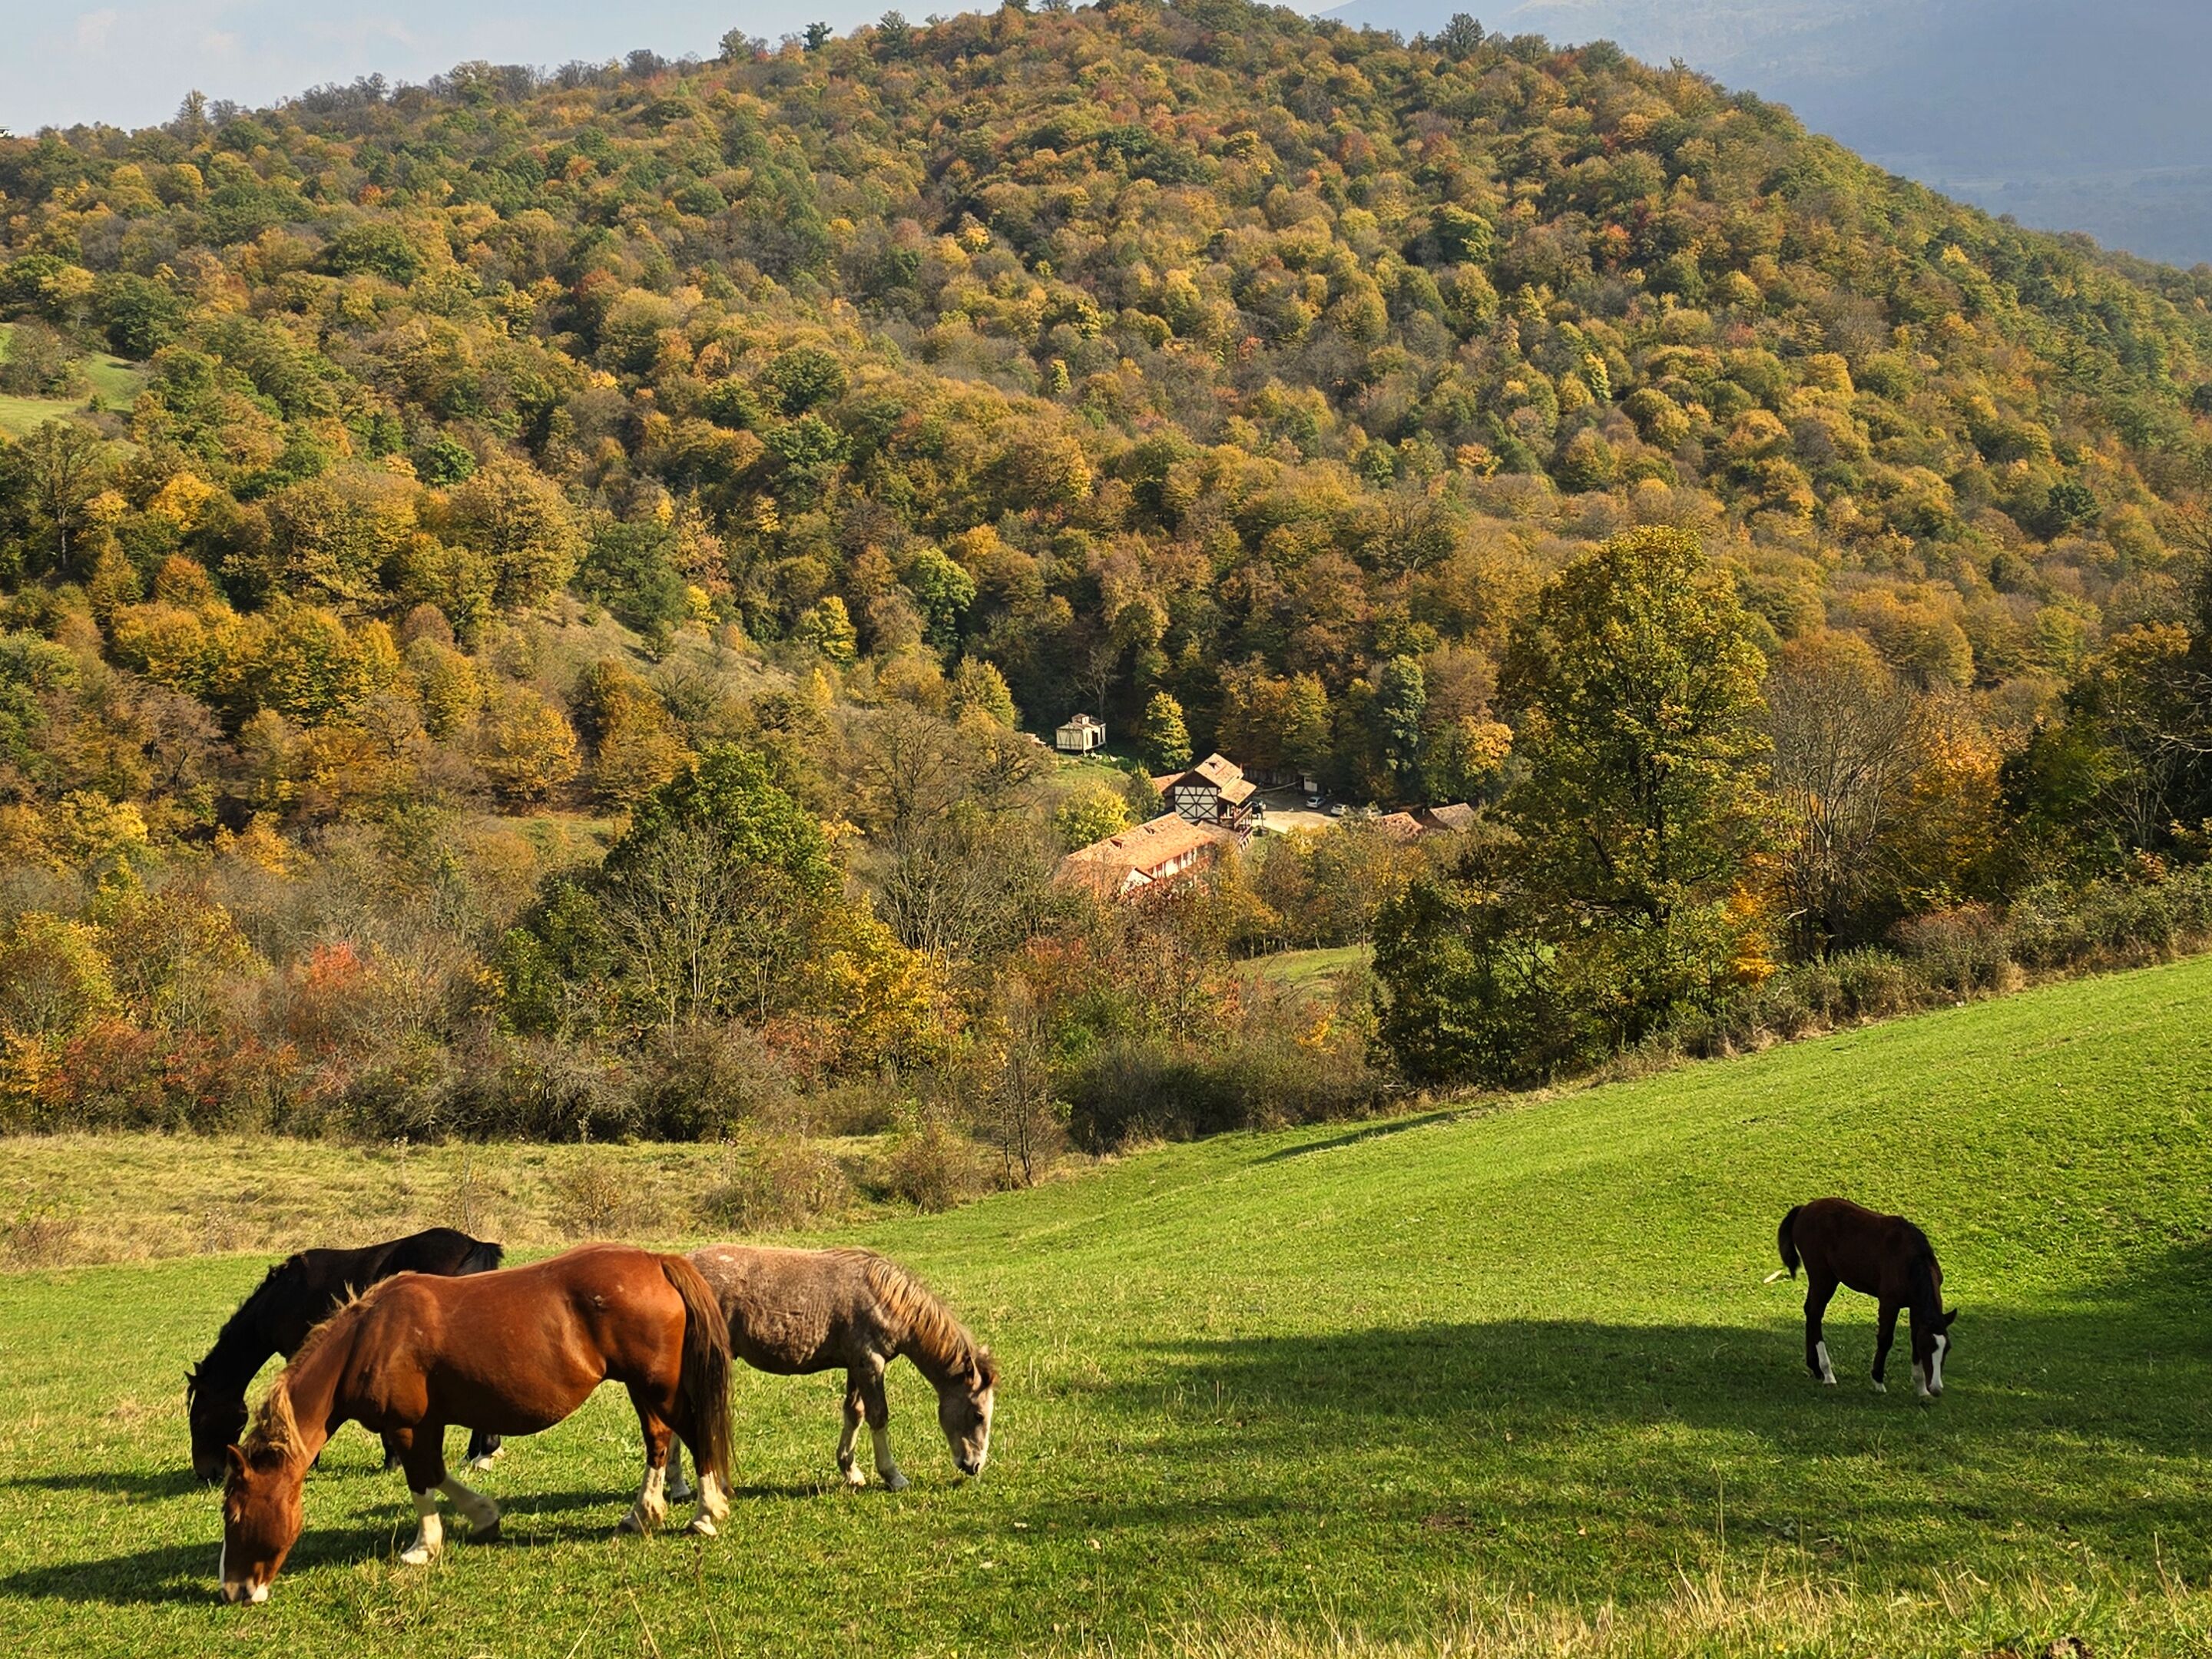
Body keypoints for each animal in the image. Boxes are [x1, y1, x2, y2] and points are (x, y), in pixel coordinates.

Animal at [217, 1242, 734, 1604]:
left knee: (692, 1434)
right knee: (659, 1440)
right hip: (642, 1388)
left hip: (656, 1386)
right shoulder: (426, 1425)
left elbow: (422, 1481)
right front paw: (484, 1517)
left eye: (234, 1515)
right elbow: (439, 1474)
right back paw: (642, 1514)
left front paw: (423, 1547)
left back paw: (706, 1514)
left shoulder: (407, 1426)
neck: (370, 1339)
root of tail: (656, 1262)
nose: (233, 1590)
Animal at [662, 1245, 995, 1498]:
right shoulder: (870, 1363)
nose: (974, 1466)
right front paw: (893, 1476)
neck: (882, 1297)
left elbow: (854, 1413)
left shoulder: (856, 1366)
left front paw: (851, 1470)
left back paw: (679, 1486)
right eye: (978, 1415)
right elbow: (878, 1416)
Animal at [1770, 1197, 1957, 1398]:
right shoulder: (1889, 1303)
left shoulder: (1915, 1308)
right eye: (1926, 1347)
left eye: (1947, 1348)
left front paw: (1921, 1390)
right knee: (1814, 1314)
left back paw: (1816, 1368)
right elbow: (1885, 1339)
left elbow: (1913, 1337)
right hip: (1822, 1277)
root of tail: (1804, 1208)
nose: (1936, 1388)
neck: (1909, 1260)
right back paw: (1828, 1374)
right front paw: (1878, 1381)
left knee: (1810, 1312)